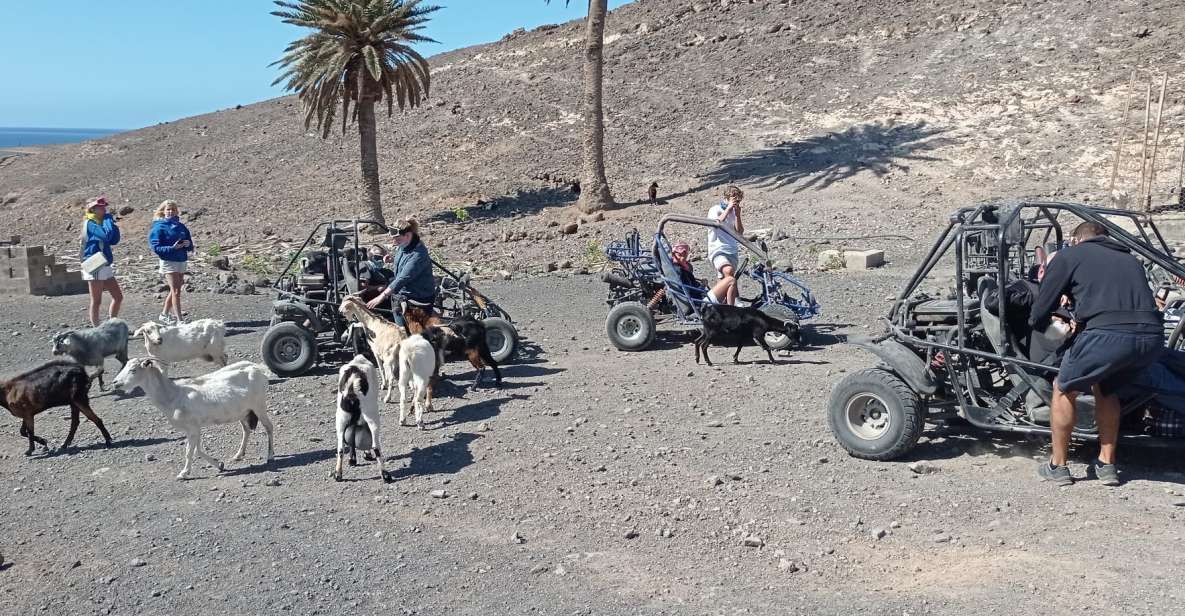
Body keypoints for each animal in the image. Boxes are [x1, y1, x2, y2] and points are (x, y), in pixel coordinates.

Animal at [113, 355, 272, 480]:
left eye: (133, 370)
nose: (115, 383)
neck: (173, 395)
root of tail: (257, 368)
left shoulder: (192, 428)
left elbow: (189, 452)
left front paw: (183, 474)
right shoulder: (196, 428)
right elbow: (197, 450)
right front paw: (220, 464)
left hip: (259, 406)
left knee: (268, 427)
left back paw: (270, 456)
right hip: (243, 412)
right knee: (246, 429)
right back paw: (238, 455)